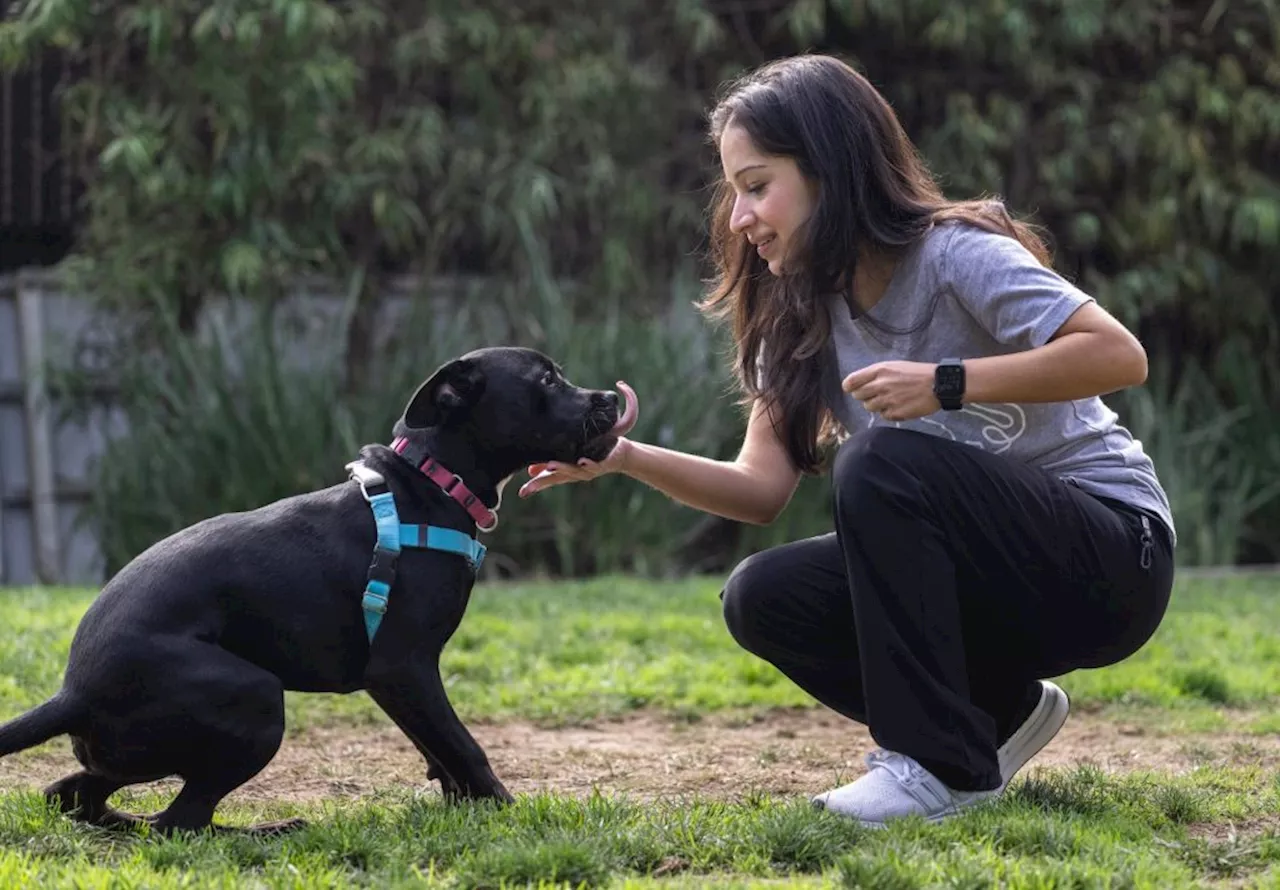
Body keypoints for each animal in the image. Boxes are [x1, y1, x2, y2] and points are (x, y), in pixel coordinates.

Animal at [0, 345, 632, 834]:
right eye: (546, 380)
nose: (610, 396)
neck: (431, 486)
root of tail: (72, 693)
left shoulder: (400, 681)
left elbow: (437, 747)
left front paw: (462, 808)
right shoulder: (404, 667)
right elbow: (463, 745)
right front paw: (508, 812)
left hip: (132, 753)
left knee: (79, 796)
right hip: (255, 700)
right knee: (181, 823)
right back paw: (267, 830)